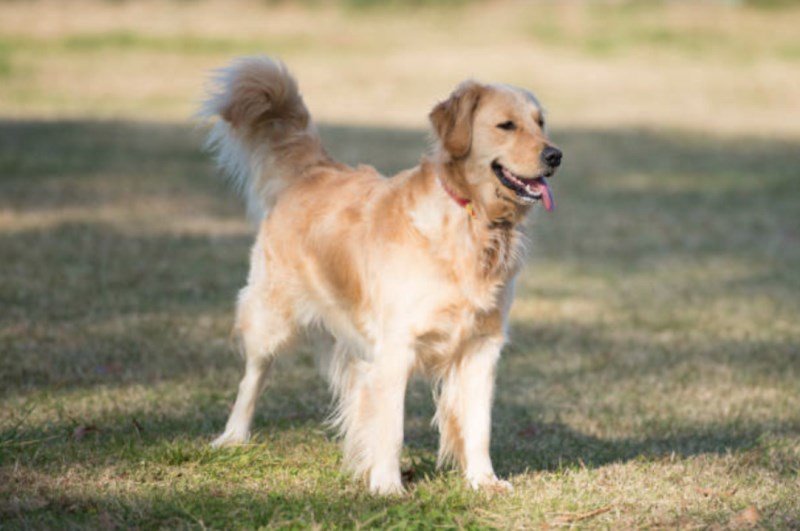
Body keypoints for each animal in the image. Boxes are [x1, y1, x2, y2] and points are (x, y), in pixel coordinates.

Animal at [200, 58, 564, 494]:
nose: (555, 155)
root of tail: (314, 170)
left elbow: (479, 425)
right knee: (253, 376)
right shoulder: (396, 347)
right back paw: (233, 437)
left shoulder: (483, 347)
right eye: (506, 125)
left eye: (540, 122)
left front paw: (484, 480)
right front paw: (388, 486)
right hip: (270, 316)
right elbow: (391, 427)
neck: (471, 220)